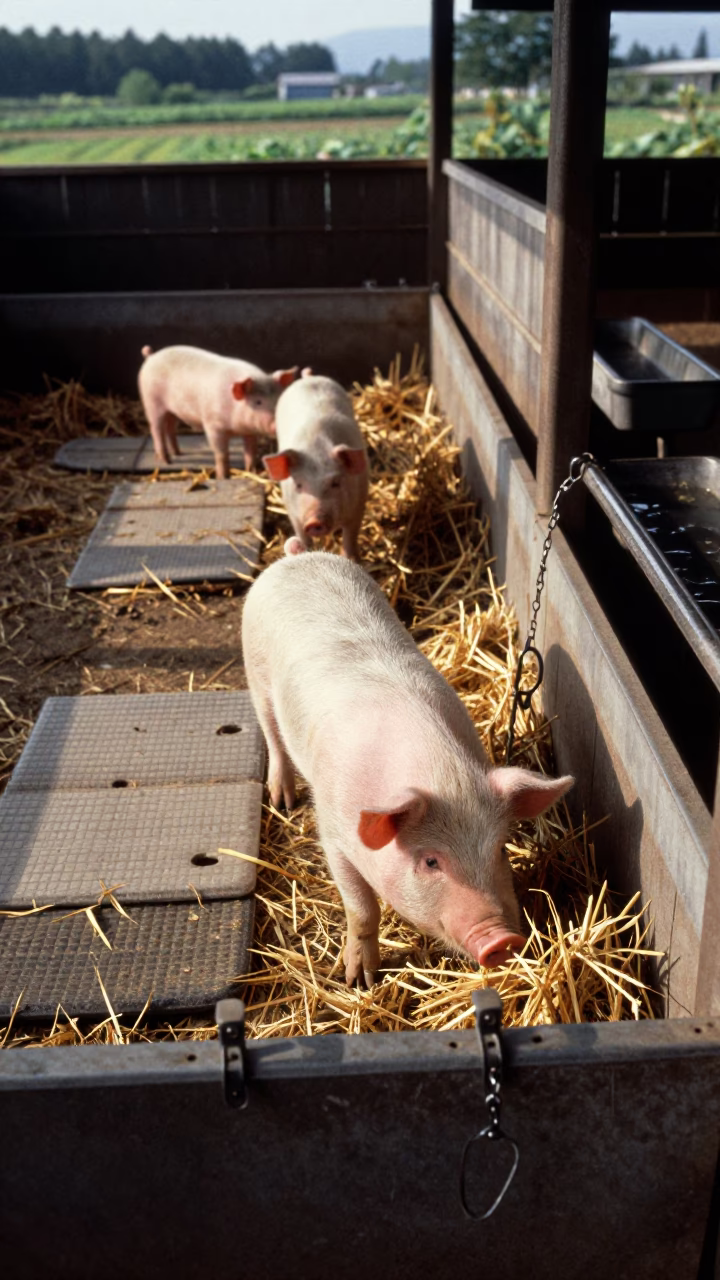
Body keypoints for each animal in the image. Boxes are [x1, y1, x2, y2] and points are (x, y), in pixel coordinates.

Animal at [138, 345, 298, 479]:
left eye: (279, 398)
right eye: (258, 402)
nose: (278, 423)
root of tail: (151, 356)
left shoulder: (249, 431)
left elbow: (251, 451)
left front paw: (251, 471)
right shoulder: (213, 425)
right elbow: (221, 454)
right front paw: (223, 477)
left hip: (173, 411)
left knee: (170, 428)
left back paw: (178, 453)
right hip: (151, 401)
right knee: (156, 429)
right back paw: (167, 461)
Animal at [242, 549, 573, 987]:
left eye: (501, 849)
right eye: (431, 861)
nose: (502, 940)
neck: (440, 774)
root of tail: (297, 557)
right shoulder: (335, 835)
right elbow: (362, 909)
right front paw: (359, 981)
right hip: (256, 673)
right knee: (272, 734)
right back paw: (283, 800)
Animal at [262, 374, 368, 562]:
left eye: (335, 482)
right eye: (298, 484)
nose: (314, 521)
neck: (316, 449)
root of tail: (308, 377)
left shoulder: (358, 504)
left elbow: (350, 537)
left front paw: (352, 559)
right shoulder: (294, 513)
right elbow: (303, 537)